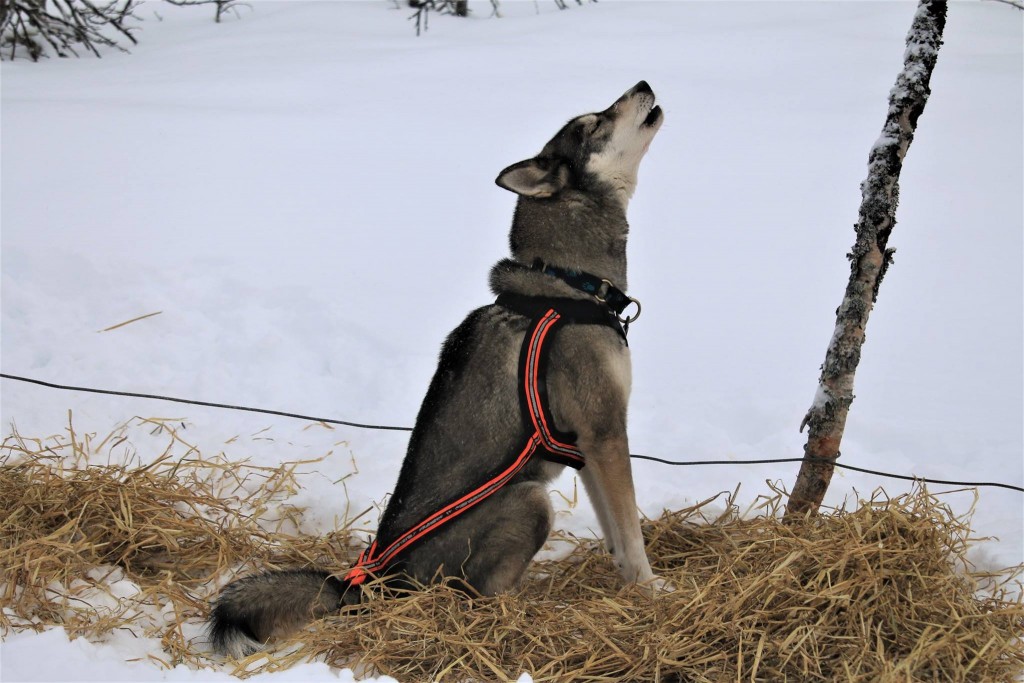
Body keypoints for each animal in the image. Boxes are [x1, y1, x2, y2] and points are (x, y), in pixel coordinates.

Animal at [211, 80, 667, 655]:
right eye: (593, 123)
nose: (643, 84)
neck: (570, 284)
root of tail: (373, 583)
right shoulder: (606, 433)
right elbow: (630, 533)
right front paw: (652, 590)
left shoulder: (589, 444)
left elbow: (615, 534)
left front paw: (628, 582)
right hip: (529, 501)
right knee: (482, 594)